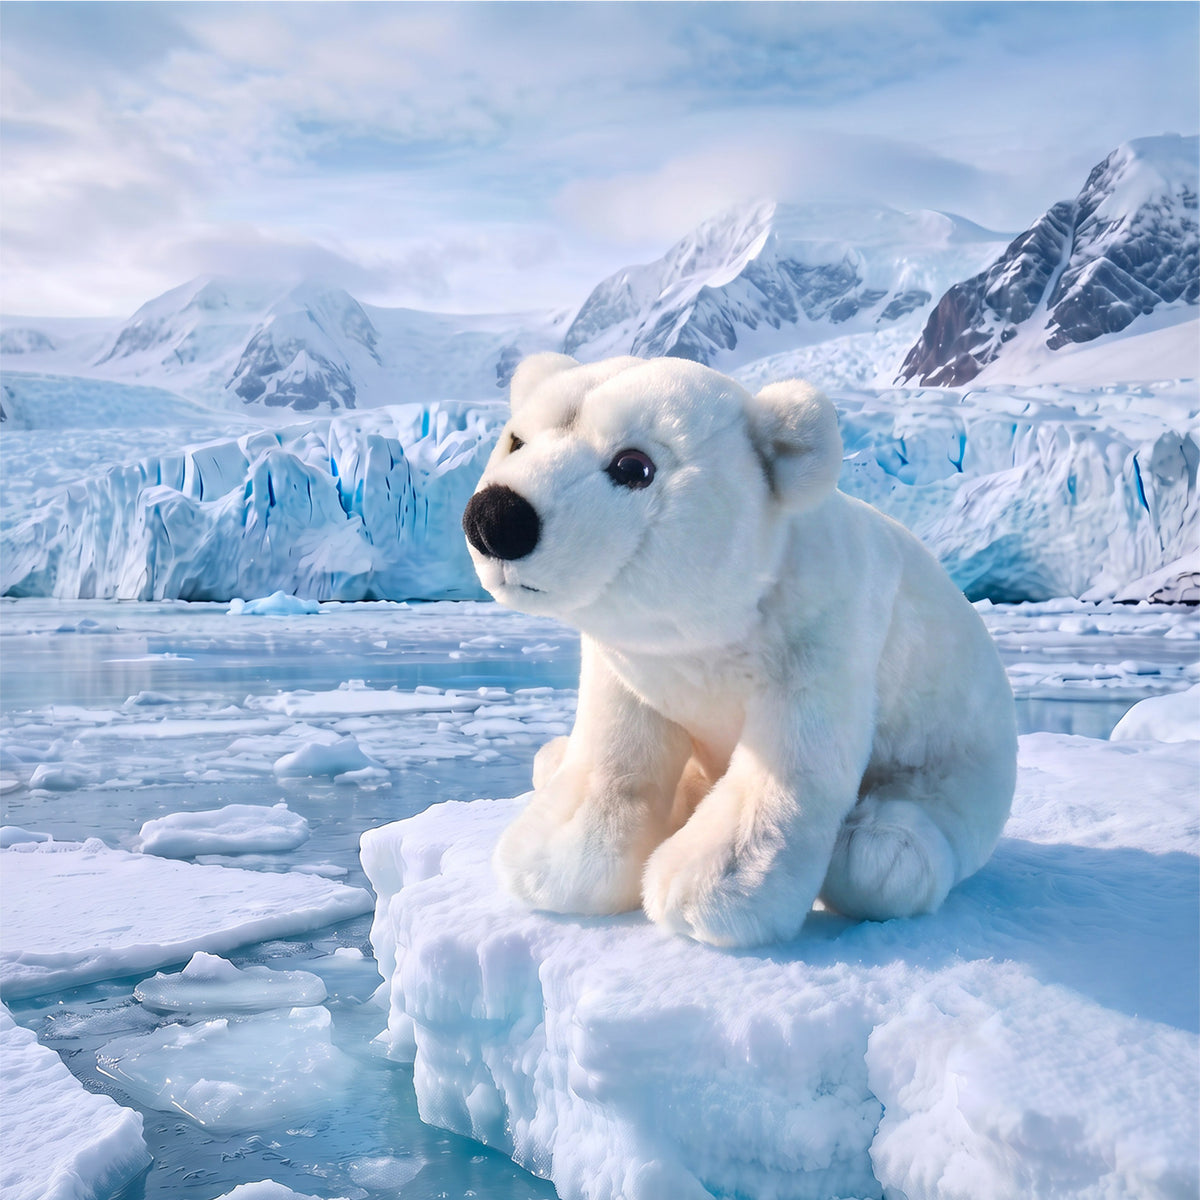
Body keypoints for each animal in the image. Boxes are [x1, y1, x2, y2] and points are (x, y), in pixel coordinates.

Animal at [461, 353, 1017, 948]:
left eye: (633, 466)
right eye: (517, 440)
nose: (496, 517)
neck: (706, 631)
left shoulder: (822, 633)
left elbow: (786, 771)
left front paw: (705, 894)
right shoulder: (629, 660)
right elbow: (616, 753)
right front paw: (554, 863)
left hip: (961, 754)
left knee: (910, 825)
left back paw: (882, 849)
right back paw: (560, 760)